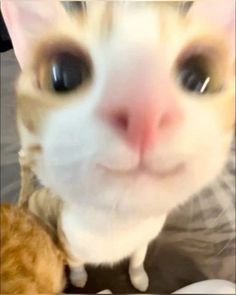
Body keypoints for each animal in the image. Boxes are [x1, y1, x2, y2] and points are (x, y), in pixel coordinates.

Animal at [1, 0, 234, 292]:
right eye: (63, 75)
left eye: (198, 77)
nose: (145, 110)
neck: (114, 227)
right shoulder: (67, 245)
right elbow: (75, 264)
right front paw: (79, 278)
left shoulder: (143, 239)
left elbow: (137, 259)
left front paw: (139, 276)